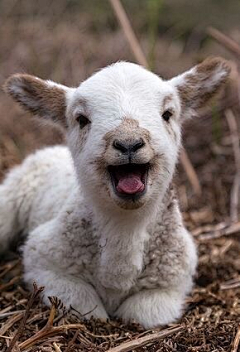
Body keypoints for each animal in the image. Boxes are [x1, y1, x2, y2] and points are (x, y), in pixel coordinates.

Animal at [0, 56, 230, 328]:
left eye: (168, 114)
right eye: (81, 119)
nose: (129, 143)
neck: (124, 228)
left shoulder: (174, 279)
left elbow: (142, 313)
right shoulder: (42, 260)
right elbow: (84, 305)